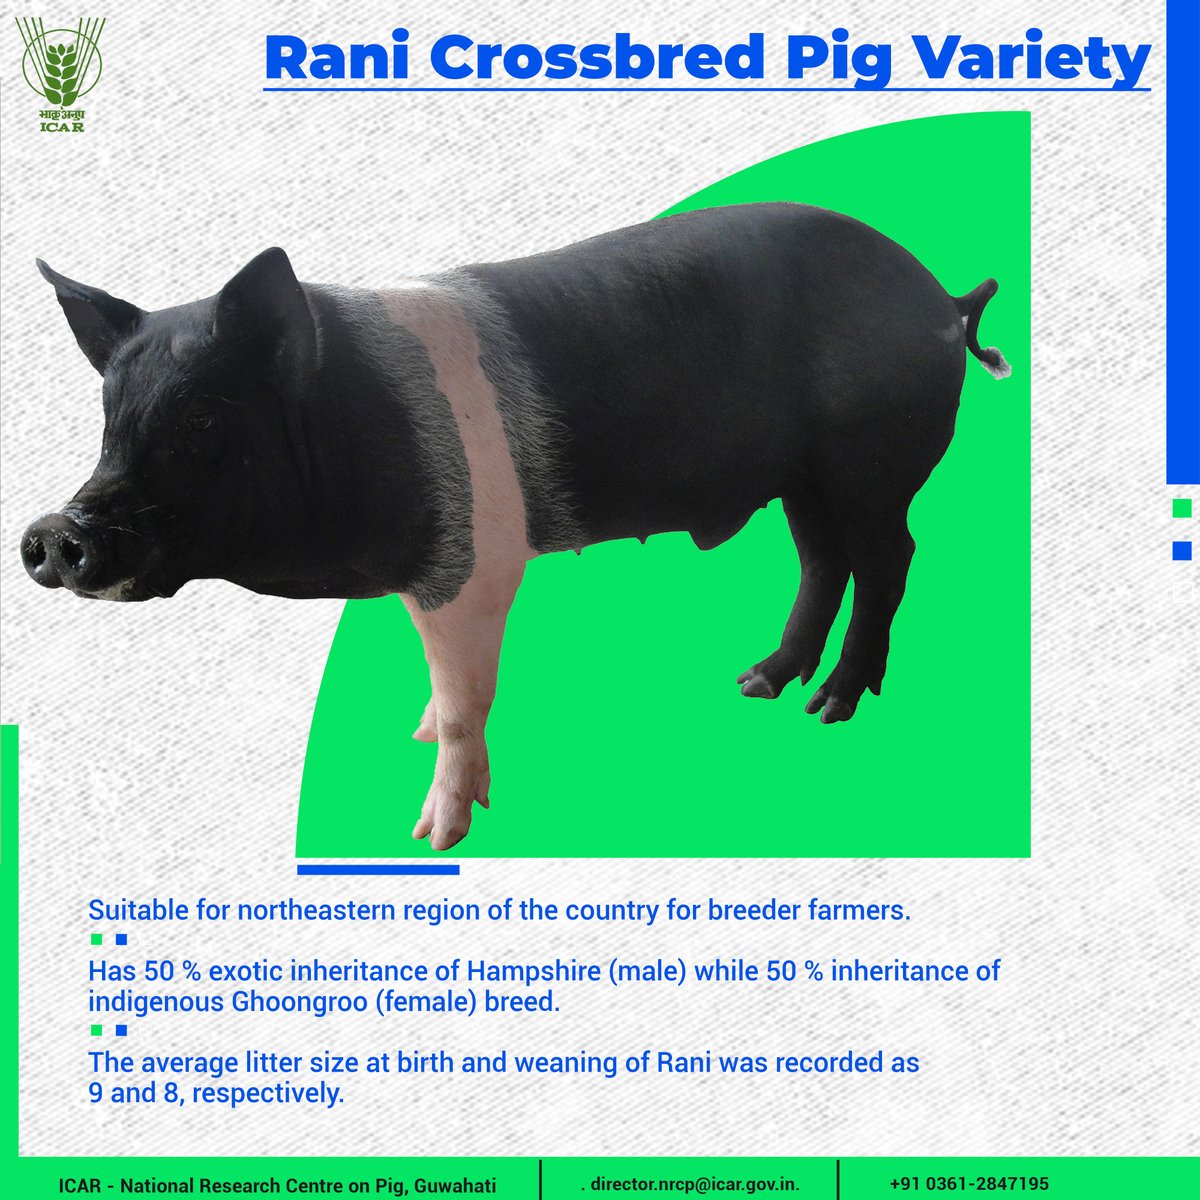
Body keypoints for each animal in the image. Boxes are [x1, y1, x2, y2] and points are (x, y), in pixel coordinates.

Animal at [21, 203, 1009, 849]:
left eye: (202, 423)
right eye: (109, 420)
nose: (53, 532)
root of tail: (940, 295)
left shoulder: (474, 562)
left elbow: (469, 702)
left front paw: (433, 836)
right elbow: (445, 690)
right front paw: (416, 733)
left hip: (872, 460)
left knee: (889, 561)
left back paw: (831, 706)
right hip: (804, 478)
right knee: (821, 561)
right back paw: (758, 684)